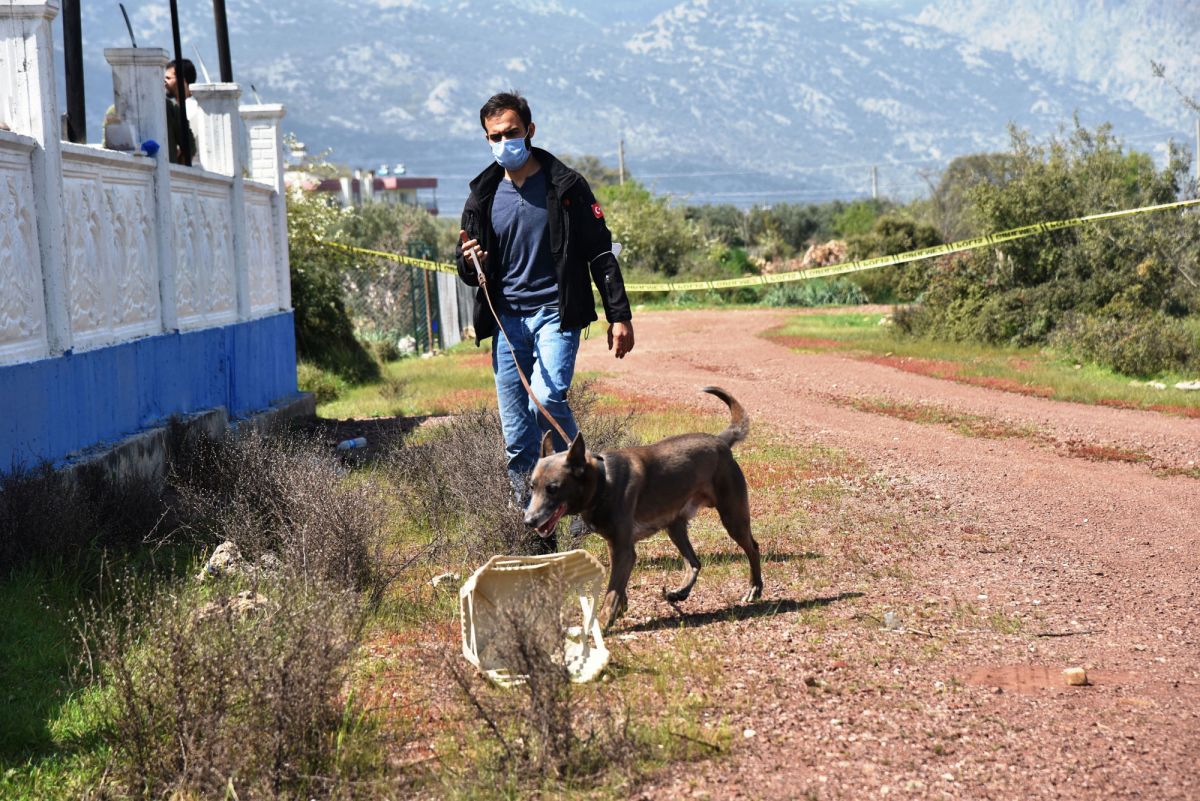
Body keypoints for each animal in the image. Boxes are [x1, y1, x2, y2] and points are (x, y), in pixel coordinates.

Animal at [523, 383, 758, 628]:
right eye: (532, 486)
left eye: (553, 488)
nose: (529, 521)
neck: (603, 483)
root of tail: (721, 441)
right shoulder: (617, 547)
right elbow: (618, 585)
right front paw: (621, 607)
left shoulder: (624, 549)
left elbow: (612, 591)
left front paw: (603, 622)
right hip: (674, 525)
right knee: (694, 562)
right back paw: (680, 592)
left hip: (732, 516)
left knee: (753, 548)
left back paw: (755, 588)